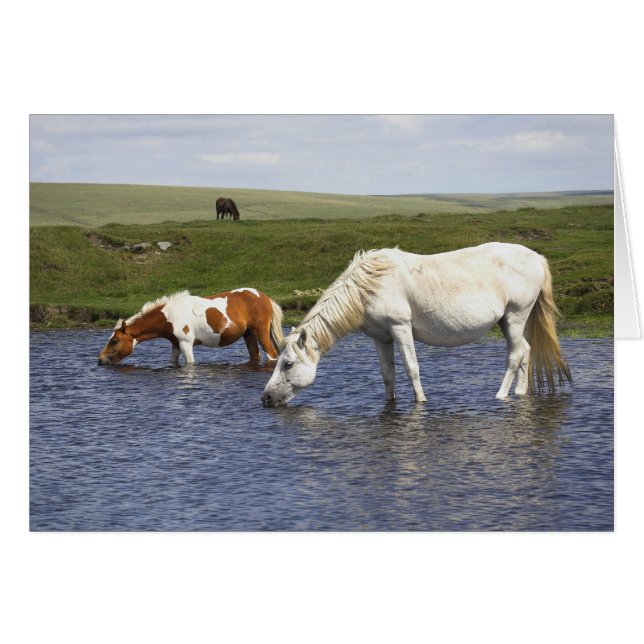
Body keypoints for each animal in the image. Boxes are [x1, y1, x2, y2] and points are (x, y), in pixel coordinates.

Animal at [98, 288, 284, 365]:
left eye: (114, 340)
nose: (100, 360)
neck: (169, 315)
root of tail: (264, 297)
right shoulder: (175, 345)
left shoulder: (186, 344)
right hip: (248, 335)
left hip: (261, 333)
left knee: (272, 355)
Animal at [261, 243, 572, 407]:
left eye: (287, 364)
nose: (266, 398)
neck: (368, 287)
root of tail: (537, 258)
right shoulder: (381, 337)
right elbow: (387, 374)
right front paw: (390, 404)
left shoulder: (400, 328)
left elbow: (412, 368)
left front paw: (420, 402)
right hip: (509, 322)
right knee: (526, 352)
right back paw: (520, 393)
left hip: (516, 316)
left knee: (515, 355)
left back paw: (500, 395)